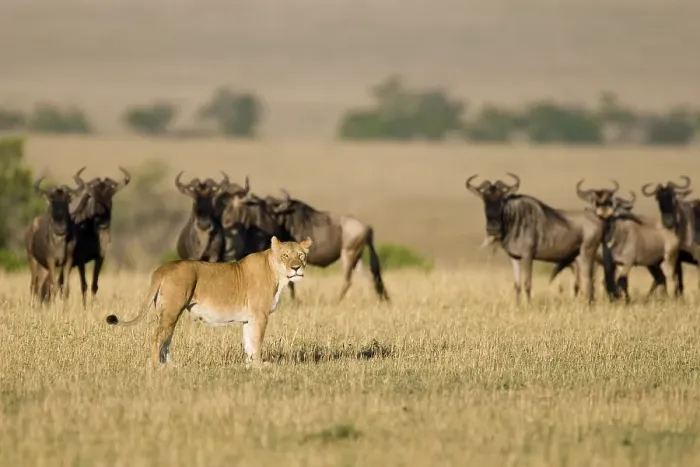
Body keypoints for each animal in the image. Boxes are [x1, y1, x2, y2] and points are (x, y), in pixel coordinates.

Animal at [105, 236, 313, 367]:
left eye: (301, 255)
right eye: (285, 255)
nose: (296, 268)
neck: (278, 276)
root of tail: (163, 268)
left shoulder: (249, 318)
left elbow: (248, 343)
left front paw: (250, 366)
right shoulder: (260, 315)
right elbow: (256, 342)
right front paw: (261, 367)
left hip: (166, 313)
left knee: (165, 340)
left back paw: (172, 367)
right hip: (172, 311)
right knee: (156, 338)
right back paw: (158, 368)